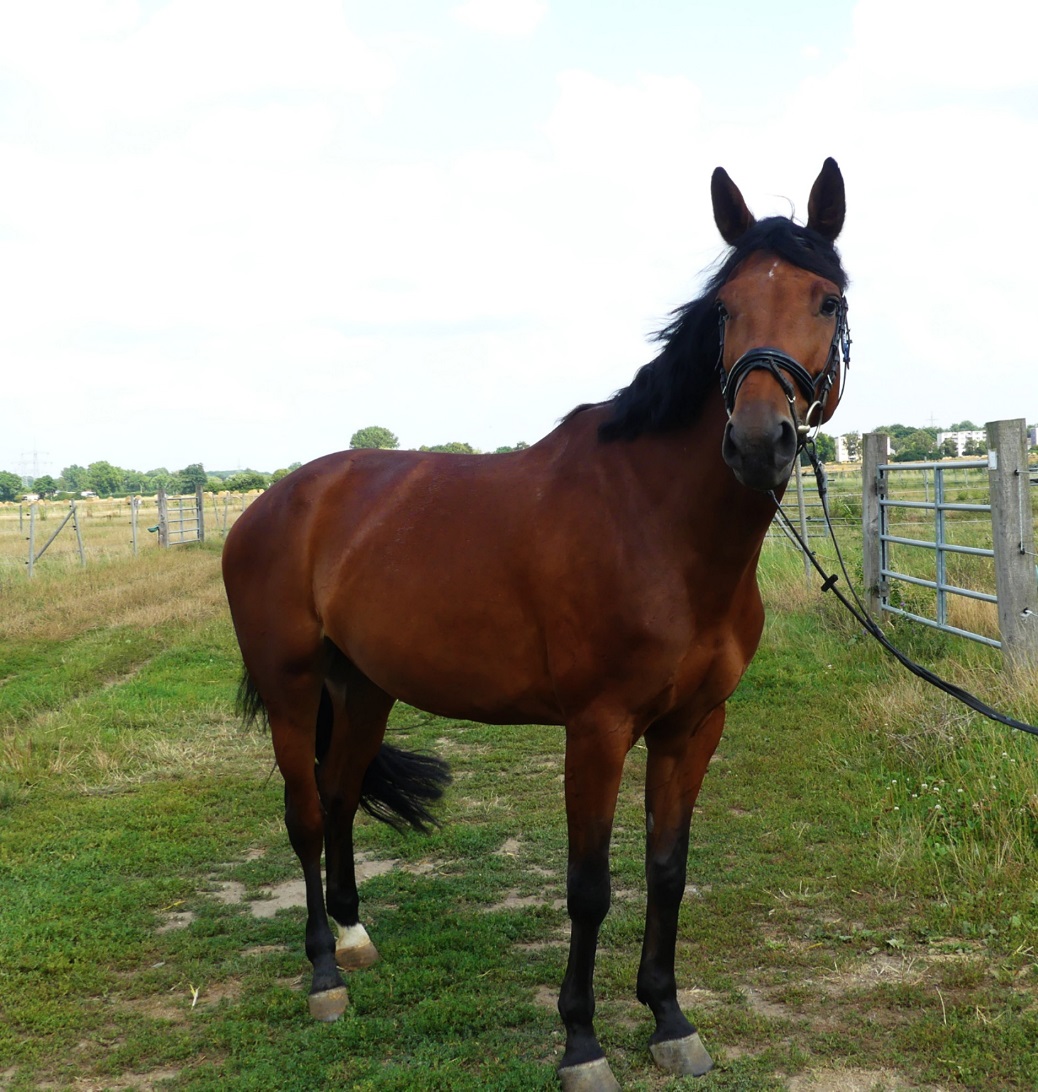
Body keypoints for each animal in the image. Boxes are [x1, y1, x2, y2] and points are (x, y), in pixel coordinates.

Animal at [222, 158, 850, 1091]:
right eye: (724, 309)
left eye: (828, 301)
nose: (756, 441)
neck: (659, 525)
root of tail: (277, 500)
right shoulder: (597, 727)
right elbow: (589, 886)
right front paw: (582, 1044)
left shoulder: (693, 725)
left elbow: (668, 870)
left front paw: (669, 1019)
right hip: (294, 686)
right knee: (303, 813)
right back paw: (325, 978)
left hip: (363, 687)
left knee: (338, 797)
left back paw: (356, 938)